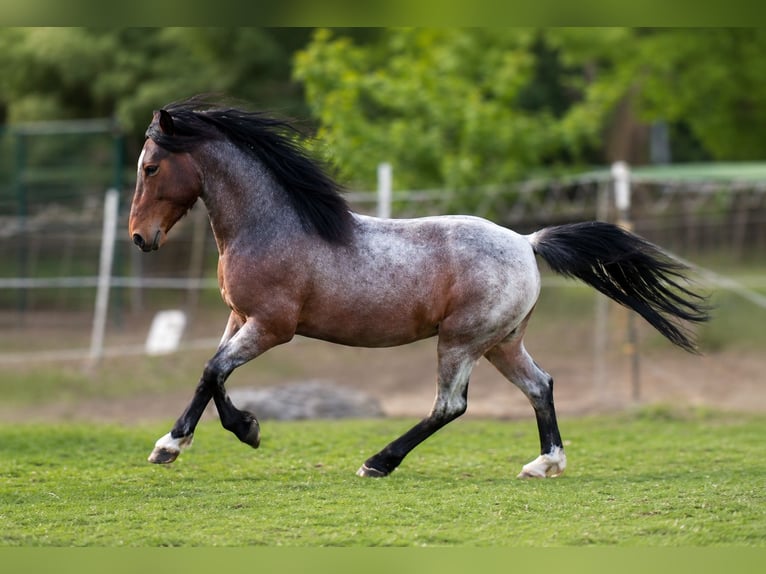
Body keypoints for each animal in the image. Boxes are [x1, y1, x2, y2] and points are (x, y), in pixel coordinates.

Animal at [129, 96, 710, 478]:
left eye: (151, 167)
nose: (140, 237)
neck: (272, 226)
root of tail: (527, 242)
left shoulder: (272, 326)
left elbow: (212, 371)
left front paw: (178, 443)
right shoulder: (240, 318)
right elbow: (213, 375)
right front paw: (232, 431)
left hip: (461, 341)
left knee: (449, 406)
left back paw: (377, 462)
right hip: (501, 343)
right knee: (540, 385)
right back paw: (545, 463)